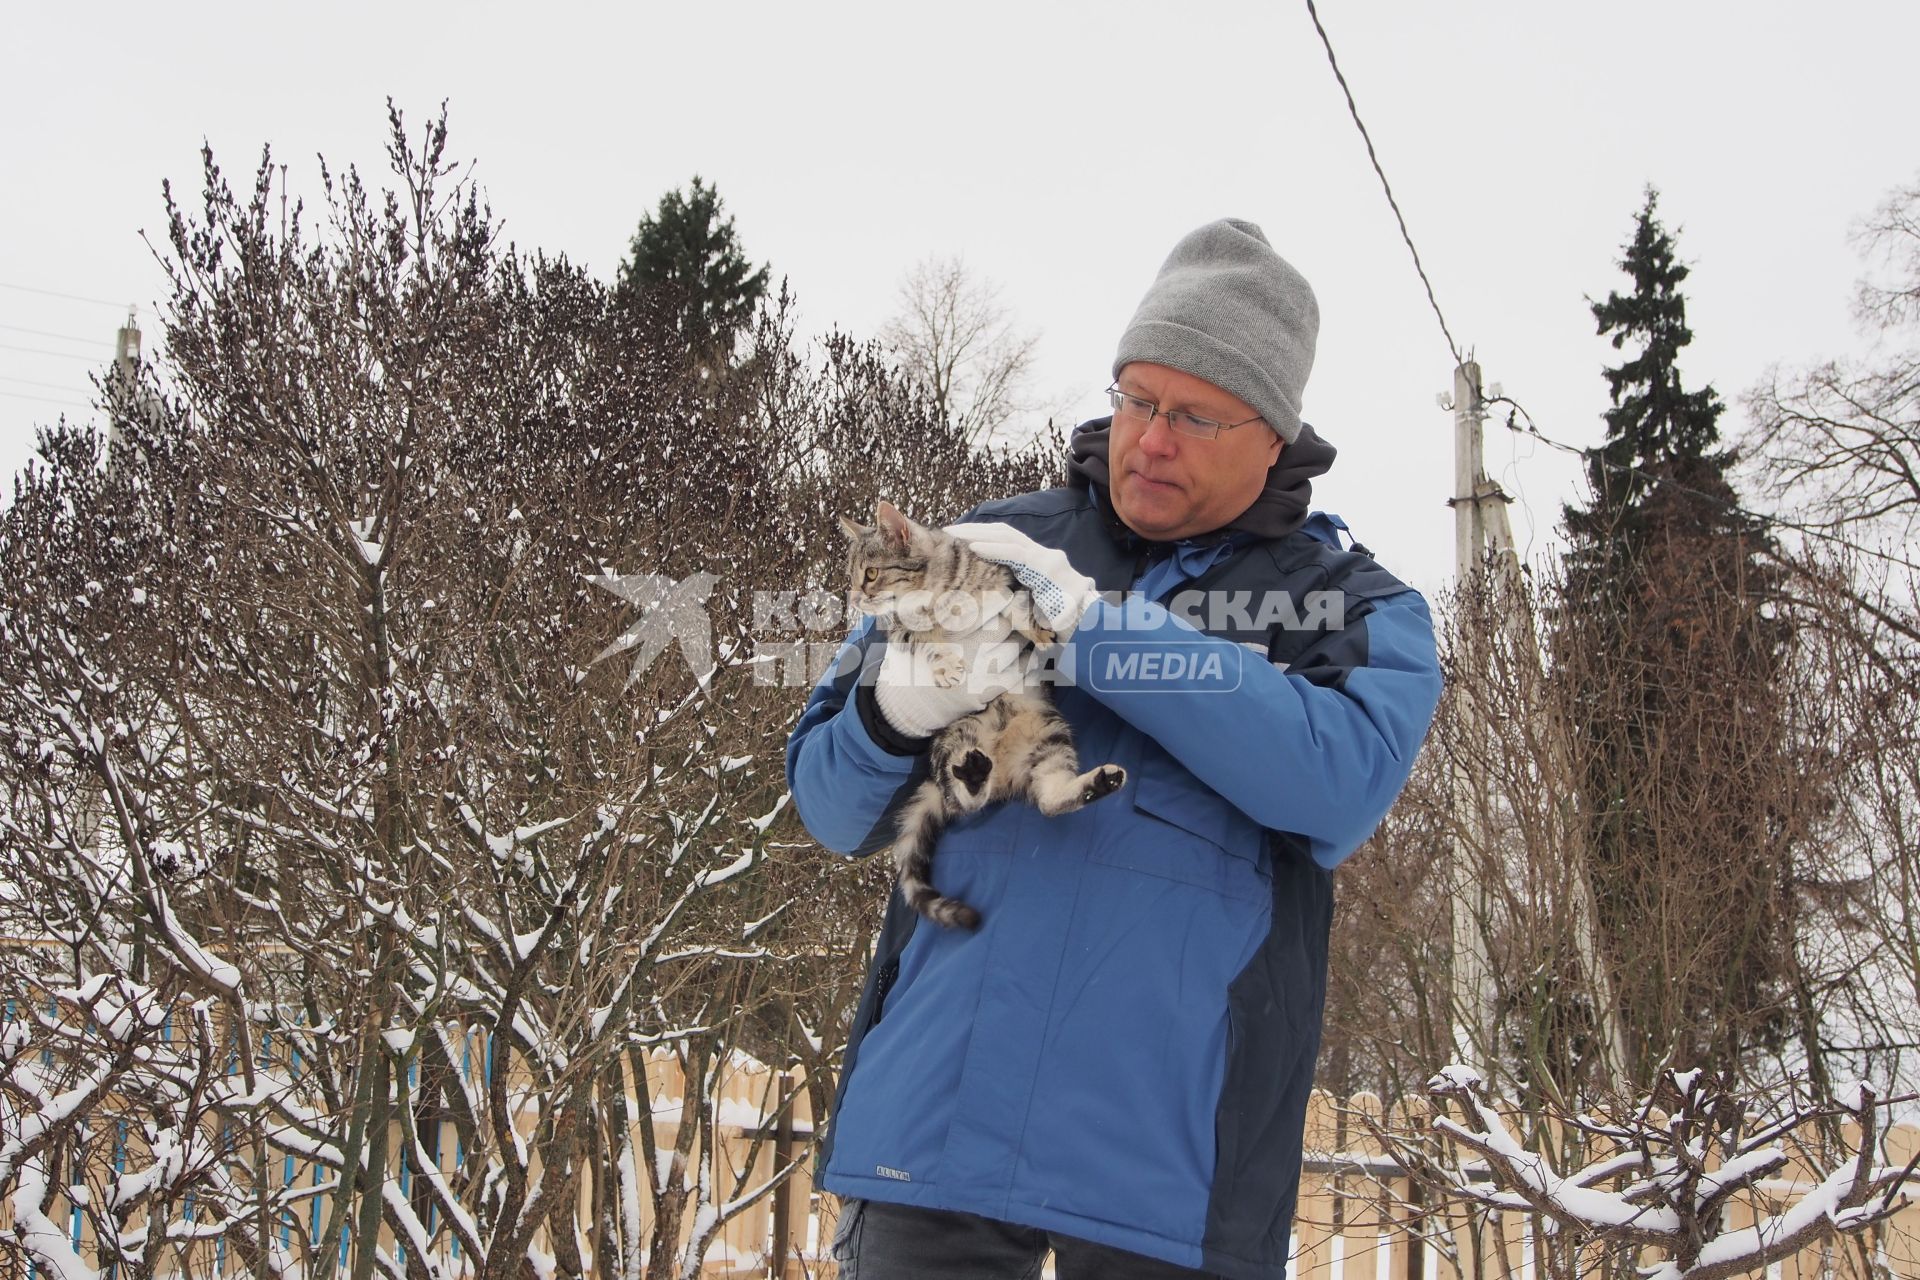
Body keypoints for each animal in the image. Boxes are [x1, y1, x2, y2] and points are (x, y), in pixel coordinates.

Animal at [840, 498, 1121, 932]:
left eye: (870, 574)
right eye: (850, 578)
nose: (855, 600)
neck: (934, 597)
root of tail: (1005, 767)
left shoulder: (1007, 585)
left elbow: (1021, 610)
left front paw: (1039, 632)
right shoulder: (901, 631)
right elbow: (925, 641)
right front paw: (945, 666)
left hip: (1050, 736)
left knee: (1048, 799)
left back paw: (1094, 784)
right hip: (957, 737)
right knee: (965, 801)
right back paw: (973, 775)